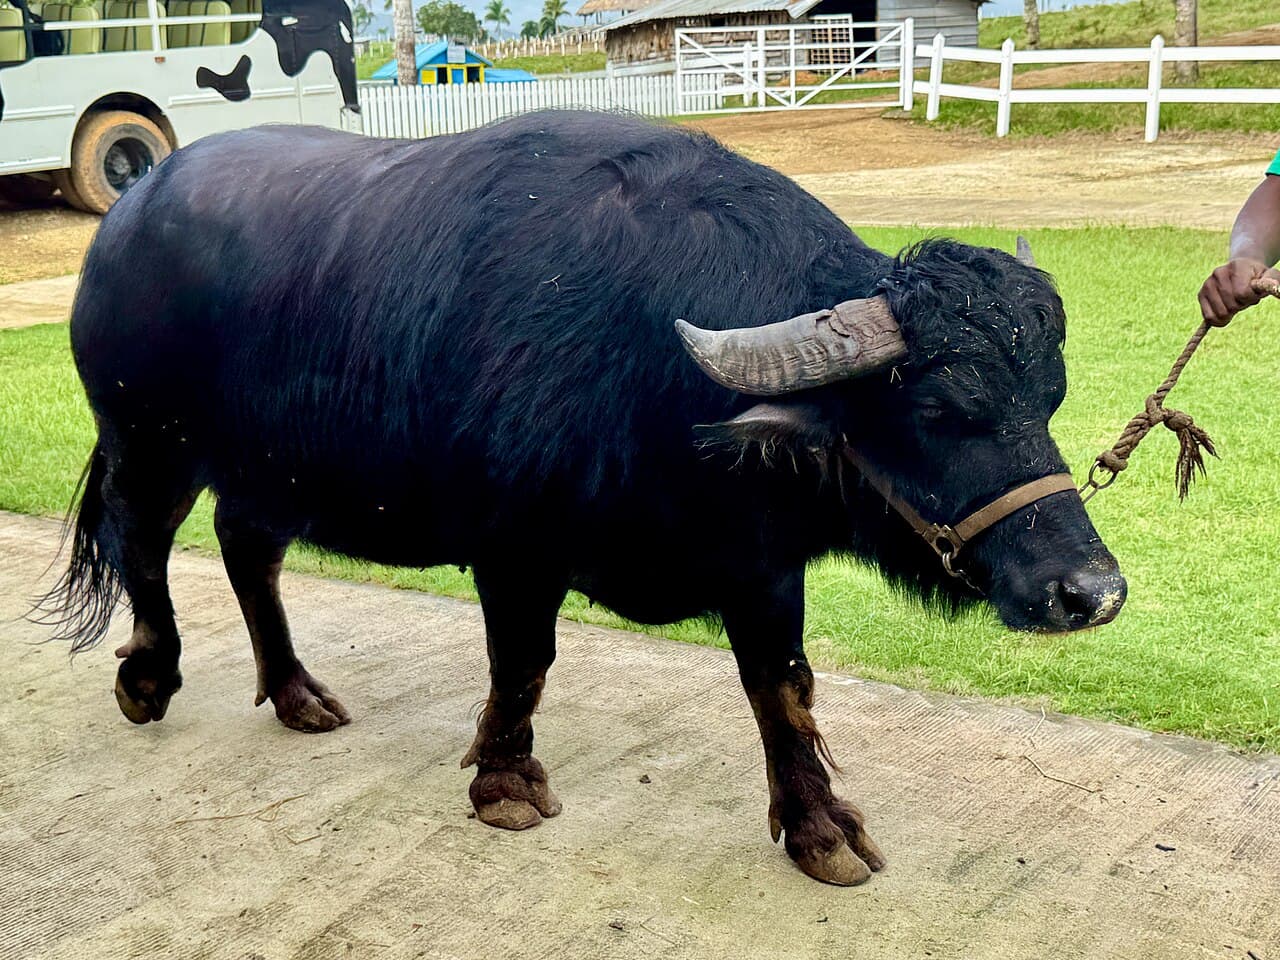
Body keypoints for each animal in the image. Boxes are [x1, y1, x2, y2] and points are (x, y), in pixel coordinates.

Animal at [44, 111, 1125, 886]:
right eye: (939, 411)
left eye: (1049, 397)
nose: (1091, 592)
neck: (660, 373)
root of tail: (127, 222)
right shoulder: (516, 550)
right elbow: (523, 665)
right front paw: (504, 782)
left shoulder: (760, 563)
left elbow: (783, 690)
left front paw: (820, 829)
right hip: (150, 441)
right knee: (145, 546)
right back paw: (150, 678)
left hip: (261, 469)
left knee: (246, 551)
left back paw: (299, 693)